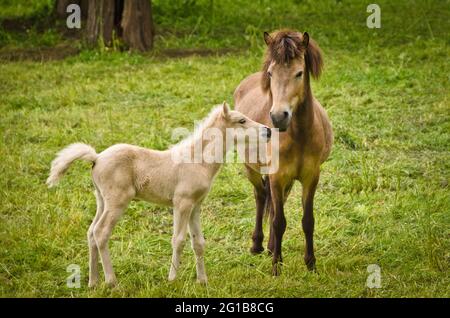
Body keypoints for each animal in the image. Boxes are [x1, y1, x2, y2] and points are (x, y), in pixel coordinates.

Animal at [46, 102, 270, 286]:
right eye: (242, 120)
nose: (267, 131)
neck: (197, 161)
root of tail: (97, 157)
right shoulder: (182, 203)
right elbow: (178, 240)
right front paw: (172, 279)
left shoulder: (196, 206)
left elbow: (198, 242)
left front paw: (202, 281)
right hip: (117, 201)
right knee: (101, 232)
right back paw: (111, 282)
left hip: (102, 200)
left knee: (91, 232)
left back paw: (93, 282)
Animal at [234, 28, 332, 274]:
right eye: (270, 73)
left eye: (299, 73)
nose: (278, 117)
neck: (299, 136)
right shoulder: (277, 176)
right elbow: (279, 221)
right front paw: (276, 267)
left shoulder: (310, 177)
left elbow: (307, 221)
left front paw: (311, 264)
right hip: (251, 169)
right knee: (261, 198)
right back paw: (258, 245)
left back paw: (269, 247)